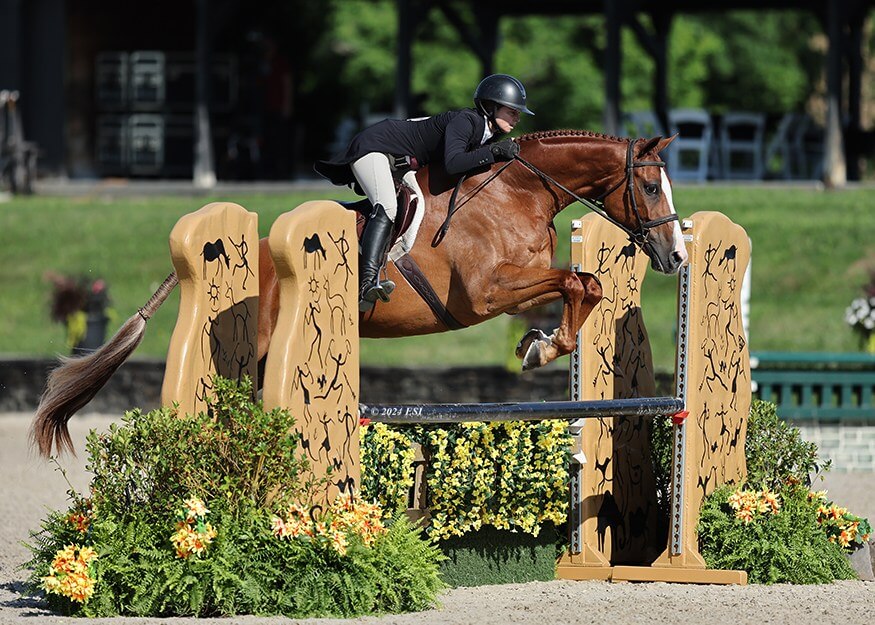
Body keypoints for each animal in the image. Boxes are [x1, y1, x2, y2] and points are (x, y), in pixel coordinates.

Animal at [33, 130, 685, 457]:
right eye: (652, 186)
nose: (676, 256)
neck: (518, 189)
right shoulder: (485, 292)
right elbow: (577, 280)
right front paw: (540, 349)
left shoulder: (519, 284)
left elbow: (586, 283)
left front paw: (539, 342)